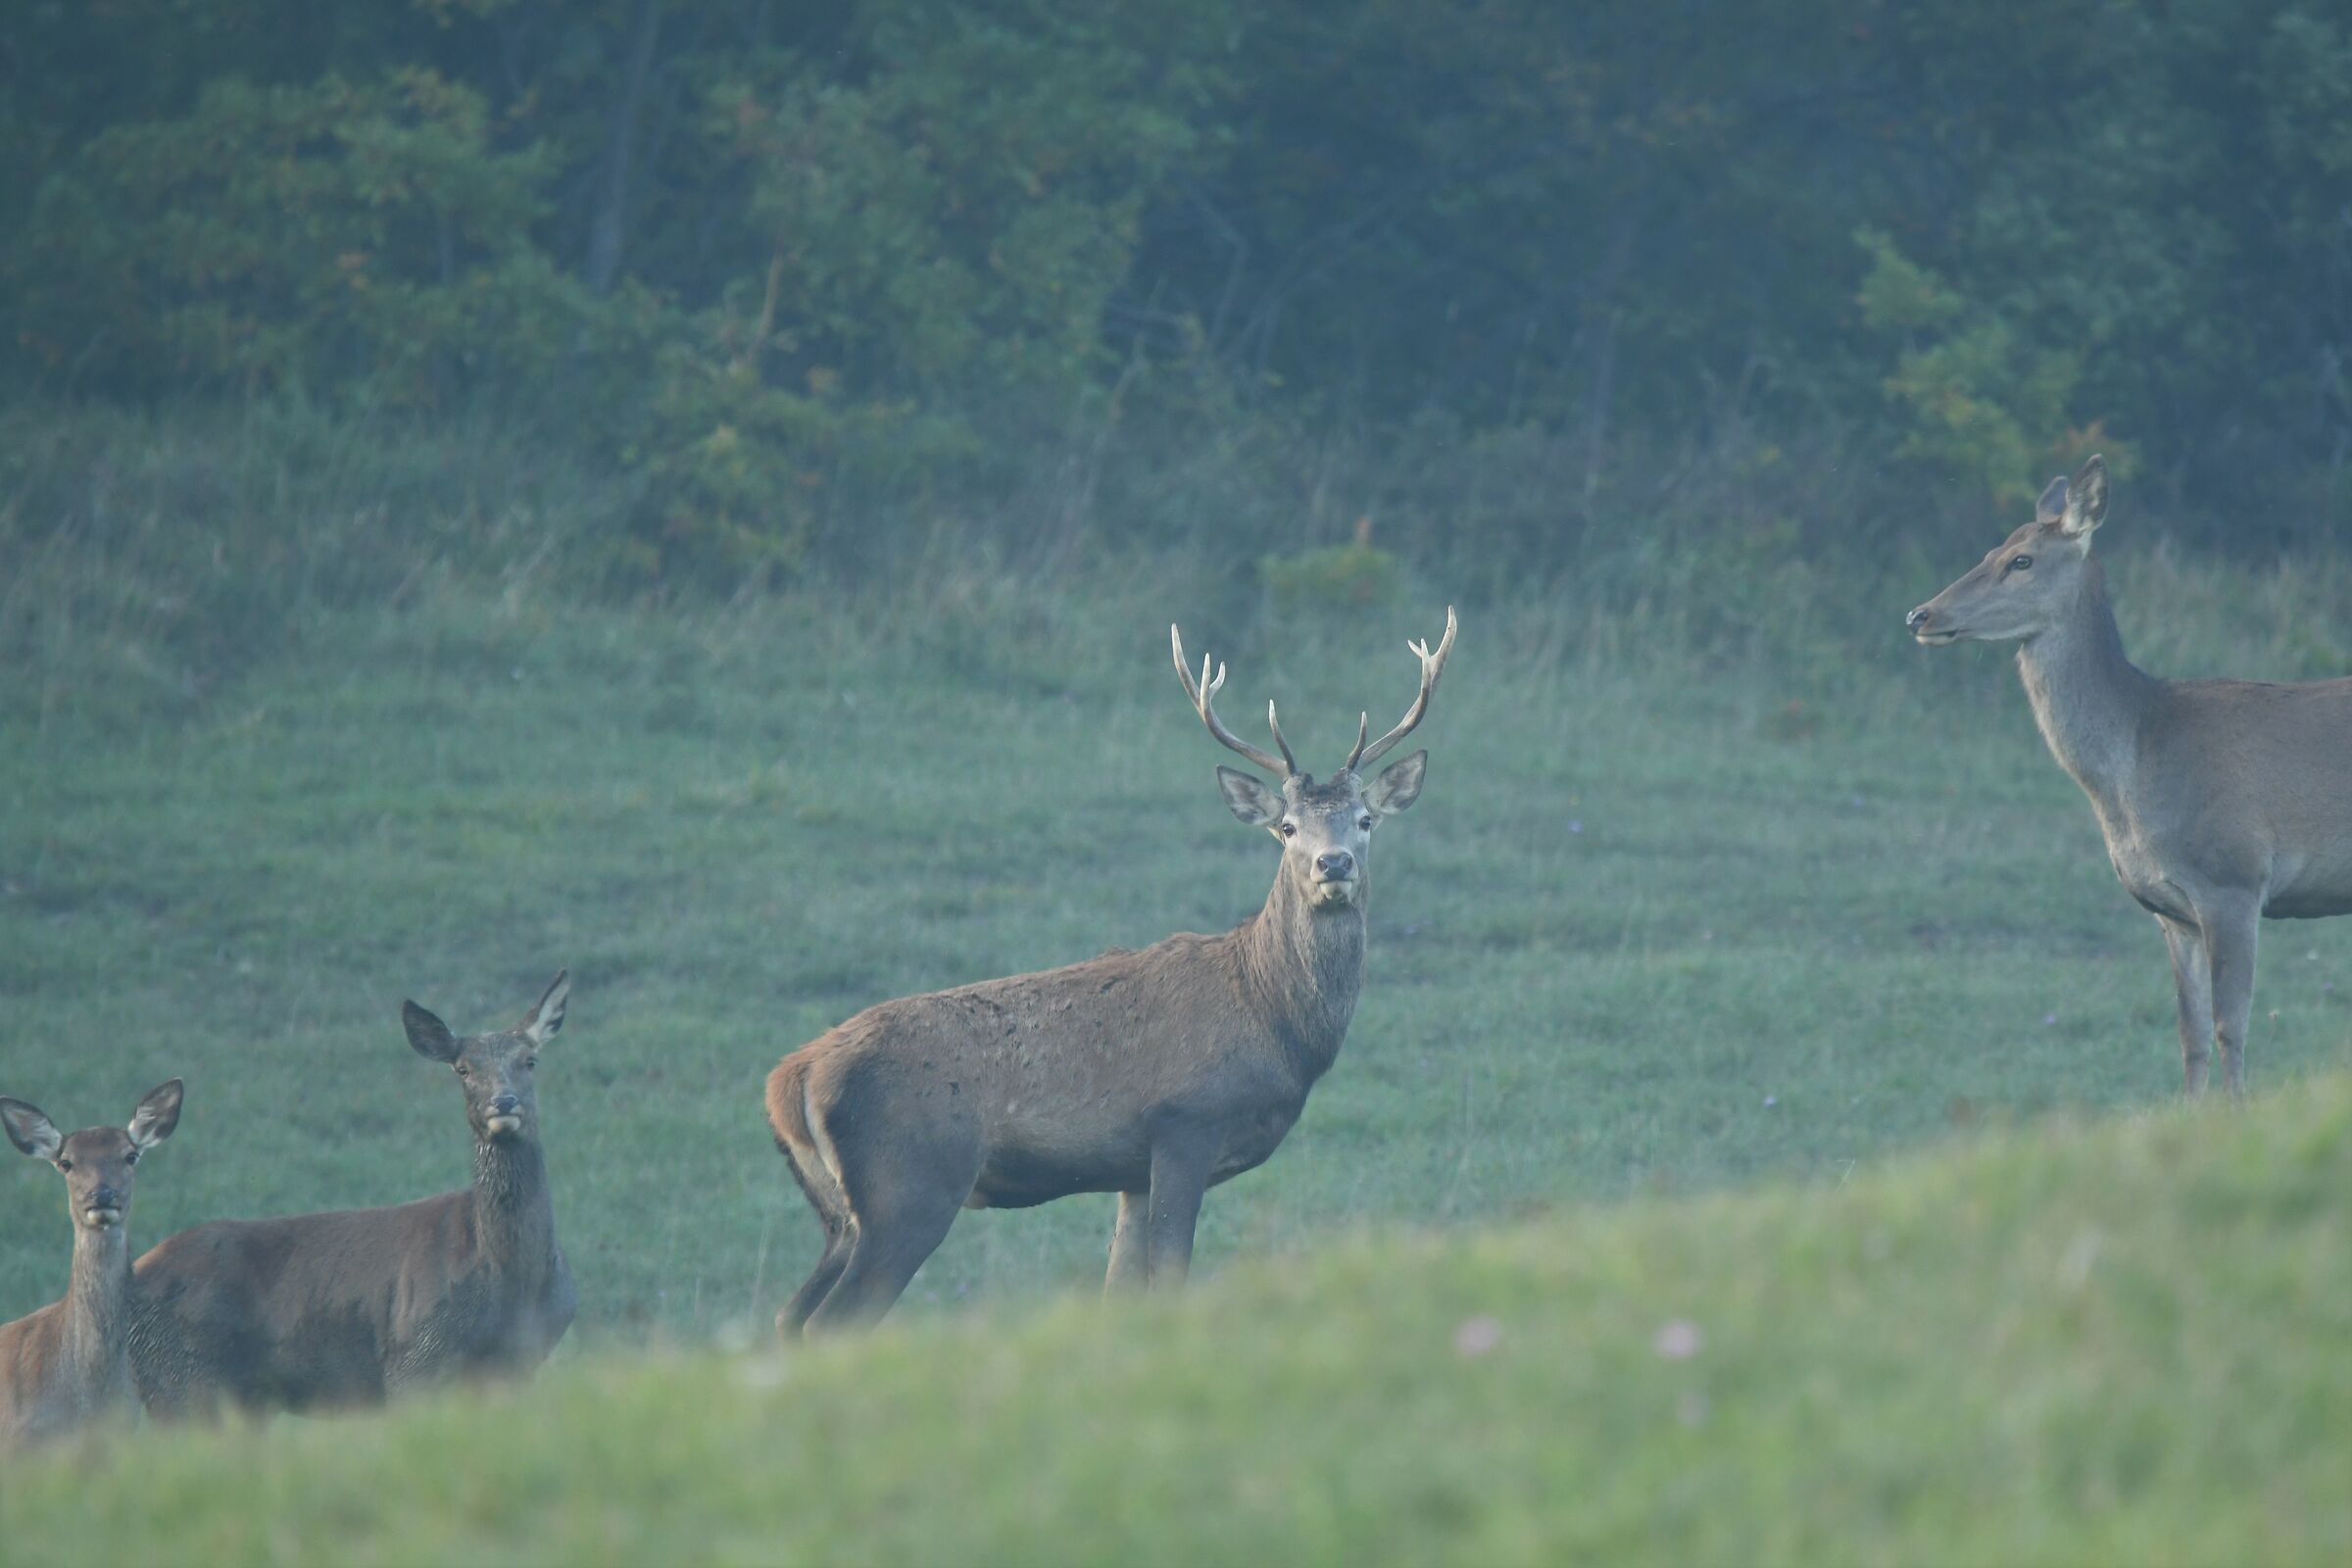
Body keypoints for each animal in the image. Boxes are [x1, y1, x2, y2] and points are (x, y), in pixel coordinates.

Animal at [129, 974, 576, 1416]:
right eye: (463, 1069)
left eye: (530, 1061)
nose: (504, 1102)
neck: (510, 1280)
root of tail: (131, 1275)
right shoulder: (415, 1355)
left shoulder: (519, 1362)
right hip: (182, 1380)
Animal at [765, 610, 1457, 1334]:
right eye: (1288, 827)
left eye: (1365, 819)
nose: (1334, 864)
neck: (1273, 1019)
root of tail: (791, 1078)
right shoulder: (1184, 1122)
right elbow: (1171, 1277)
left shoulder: (1131, 1169)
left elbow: (1118, 1290)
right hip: (910, 1186)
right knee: (828, 1322)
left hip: (841, 1212)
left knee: (788, 1316)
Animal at [1908, 455, 2352, 1096]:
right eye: (1994, 548)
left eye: (2022, 560)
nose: (1921, 613)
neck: (2135, 759)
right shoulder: (2172, 912)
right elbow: (2191, 1037)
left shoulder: (2235, 876)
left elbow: (2230, 1028)